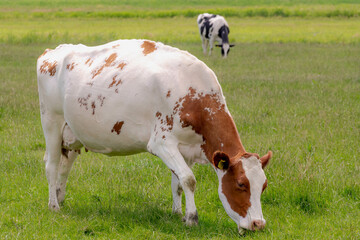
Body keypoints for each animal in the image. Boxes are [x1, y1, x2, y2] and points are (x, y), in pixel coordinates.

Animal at [37, 39, 272, 232]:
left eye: (264, 186)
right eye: (241, 184)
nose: (258, 224)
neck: (193, 94)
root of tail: (53, 52)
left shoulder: (187, 149)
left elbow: (179, 182)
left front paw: (178, 213)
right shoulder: (162, 143)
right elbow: (189, 179)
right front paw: (192, 217)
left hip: (72, 134)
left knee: (65, 167)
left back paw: (59, 196)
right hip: (51, 123)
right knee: (51, 165)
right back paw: (53, 205)